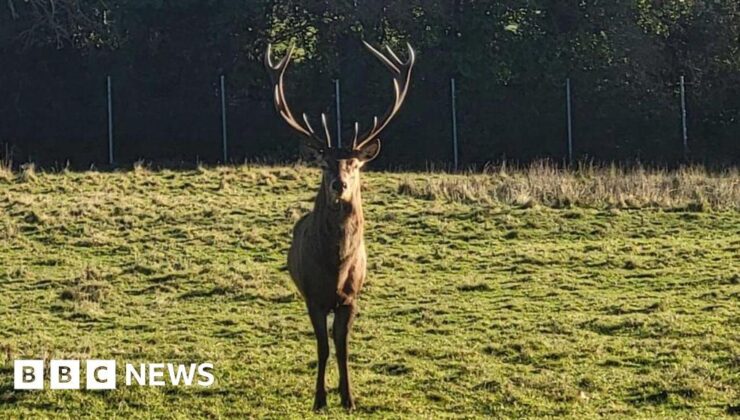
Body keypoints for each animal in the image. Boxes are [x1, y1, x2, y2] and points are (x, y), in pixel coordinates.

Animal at [265, 41, 415, 411]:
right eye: (324, 164)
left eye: (354, 164)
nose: (339, 184)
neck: (335, 267)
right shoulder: (313, 298)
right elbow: (322, 348)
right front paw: (319, 398)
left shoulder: (351, 298)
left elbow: (343, 348)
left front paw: (348, 397)